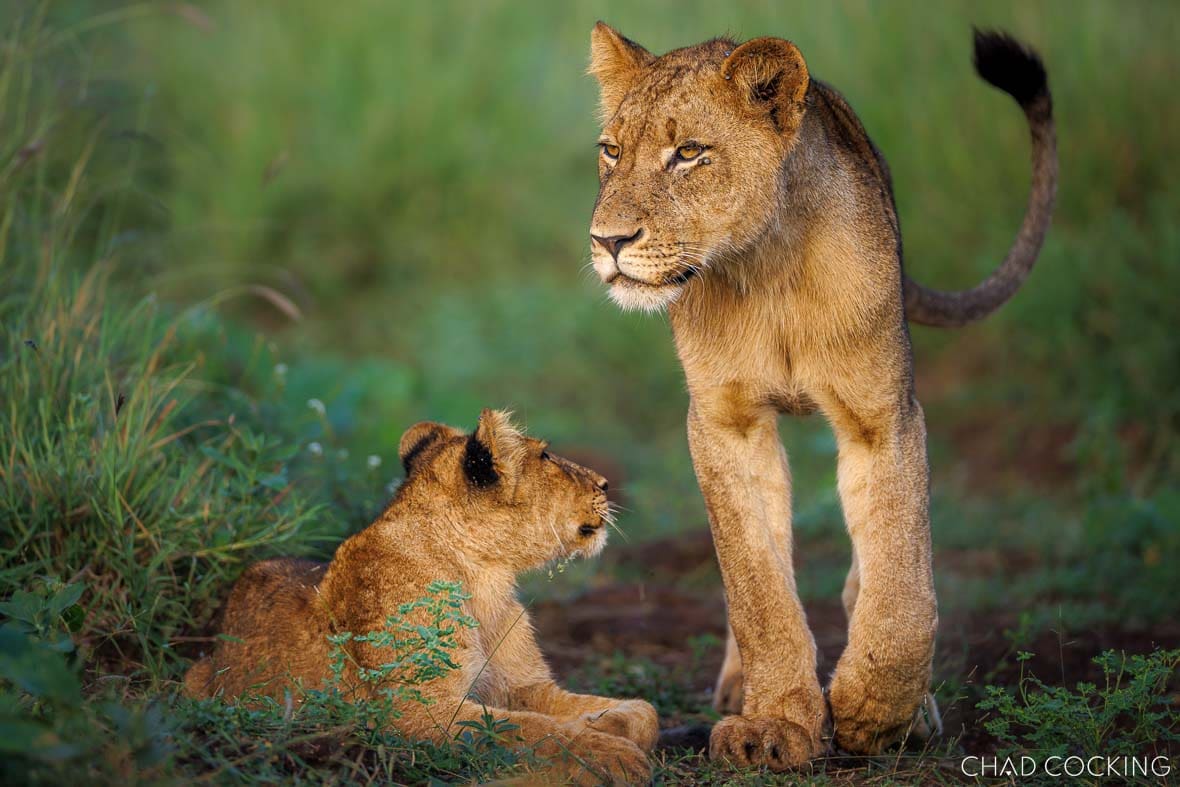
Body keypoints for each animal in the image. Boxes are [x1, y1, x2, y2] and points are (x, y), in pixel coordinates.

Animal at [184, 409, 658, 784]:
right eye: (544, 456)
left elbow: (643, 712)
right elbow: (534, 731)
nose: (605, 483)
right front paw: (614, 755)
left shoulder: (520, 687)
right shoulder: (418, 711)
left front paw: (609, 723)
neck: (486, 576)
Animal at [586, 24, 1055, 769]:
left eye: (688, 153)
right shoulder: (724, 422)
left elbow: (900, 580)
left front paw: (876, 714)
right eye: (611, 150)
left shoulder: (883, 416)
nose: (607, 241)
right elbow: (758, 589)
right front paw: (776, 721)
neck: (764, 266)